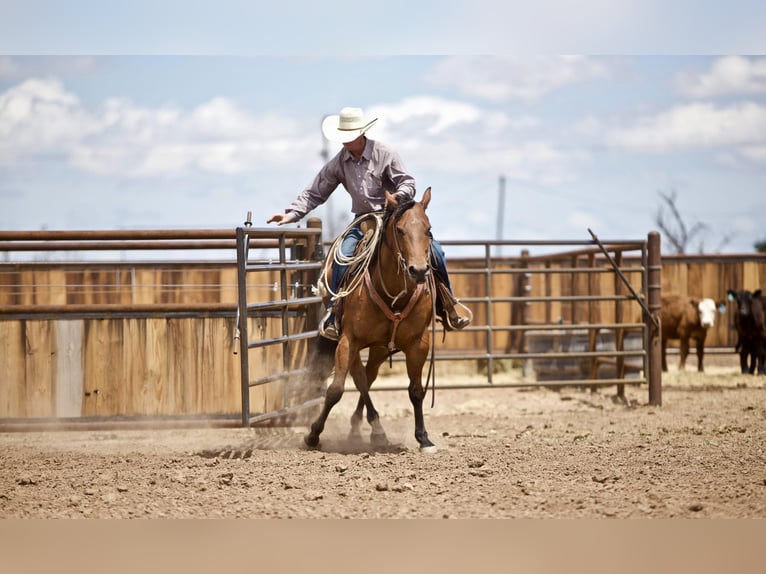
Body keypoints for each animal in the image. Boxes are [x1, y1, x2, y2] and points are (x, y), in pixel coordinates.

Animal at [304, 189, 438, 454]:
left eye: (428, 230)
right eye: (400, 230)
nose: (418, 271)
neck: (394, 295)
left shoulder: (419, 344)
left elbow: (416, 391)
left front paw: (424, 439)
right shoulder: (348, 340)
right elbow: (335, 390)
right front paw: (313, 435)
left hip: (379, 347)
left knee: (368, 375)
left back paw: (372, 429)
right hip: (353, 343)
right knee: (361, 379)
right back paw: (372, 429)